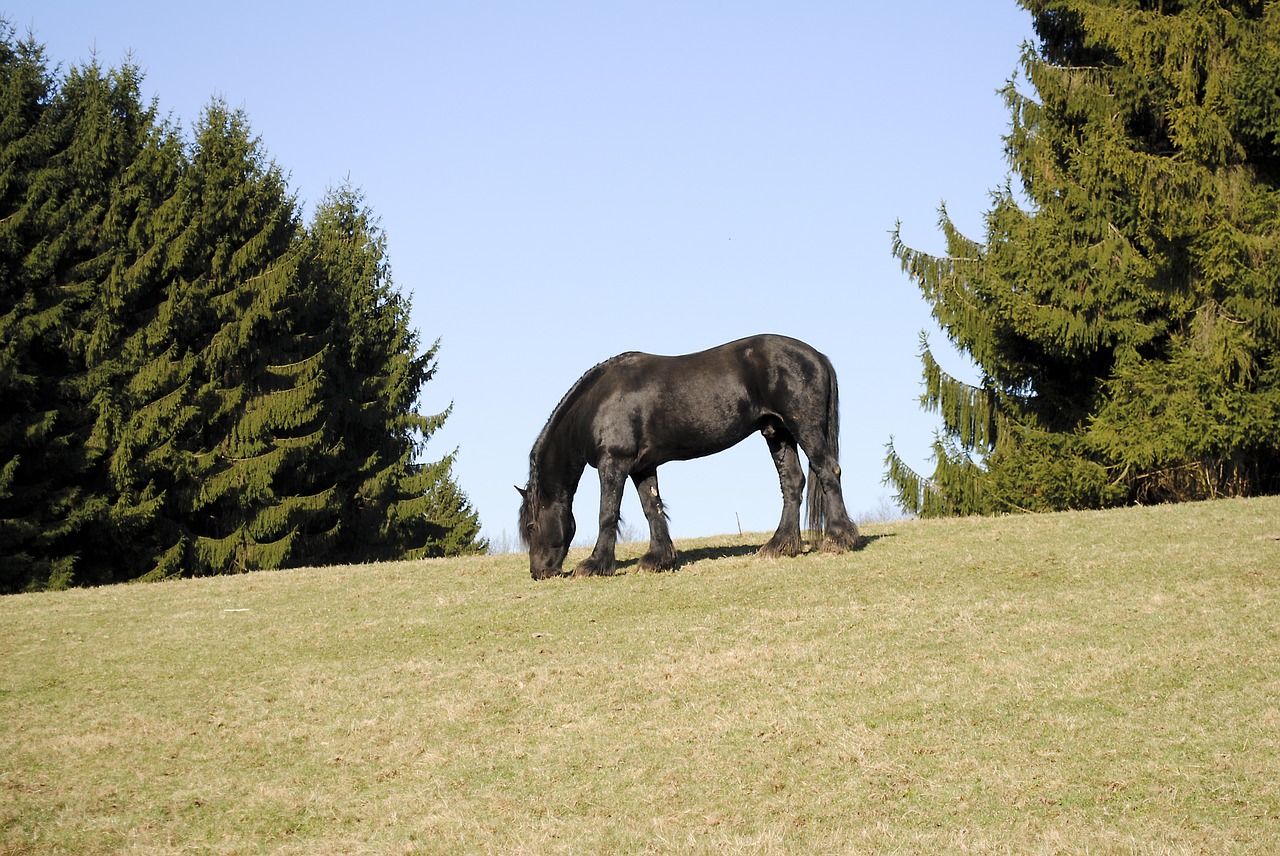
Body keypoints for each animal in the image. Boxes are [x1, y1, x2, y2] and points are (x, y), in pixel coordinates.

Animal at [512, 332, 860, 580]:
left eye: (530, 526)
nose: (539, 572)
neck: (598, 403)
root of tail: (817, 356)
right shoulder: (642, 466)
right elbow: (652, 508)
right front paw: (658, 559)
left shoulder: (614, 464)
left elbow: (607, 513)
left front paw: (596, 564)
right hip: (777, 433)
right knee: (793, 484)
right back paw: (780, 546)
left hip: (804, 428)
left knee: (827, 471)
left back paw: (838, 539)